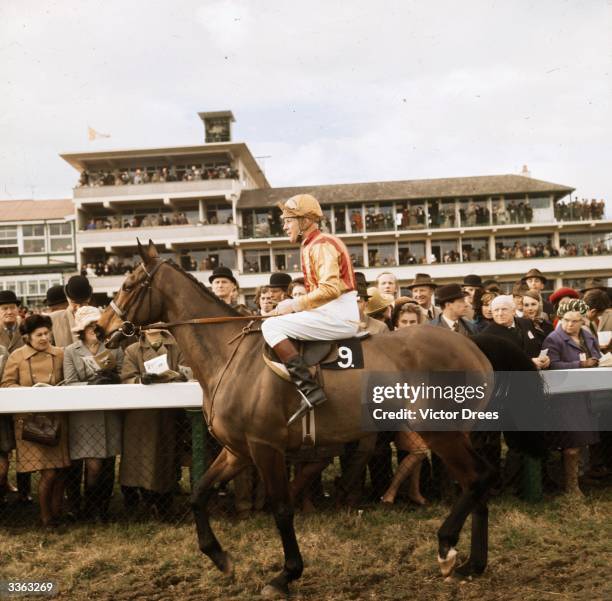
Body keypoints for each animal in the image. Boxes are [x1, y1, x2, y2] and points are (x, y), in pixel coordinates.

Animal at [100, 241, 544, 596]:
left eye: (128, 284)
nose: (103, 329)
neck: (230, 355)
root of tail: (473, 343)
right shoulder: (237, 451)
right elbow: (198, 494)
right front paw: (221, 558)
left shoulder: (265, 448)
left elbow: (281, 508)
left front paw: (286, 575)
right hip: (458, 431)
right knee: (480, 480)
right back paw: (472, 563)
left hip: (441, 431)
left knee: (477, 478)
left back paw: (448, 548)